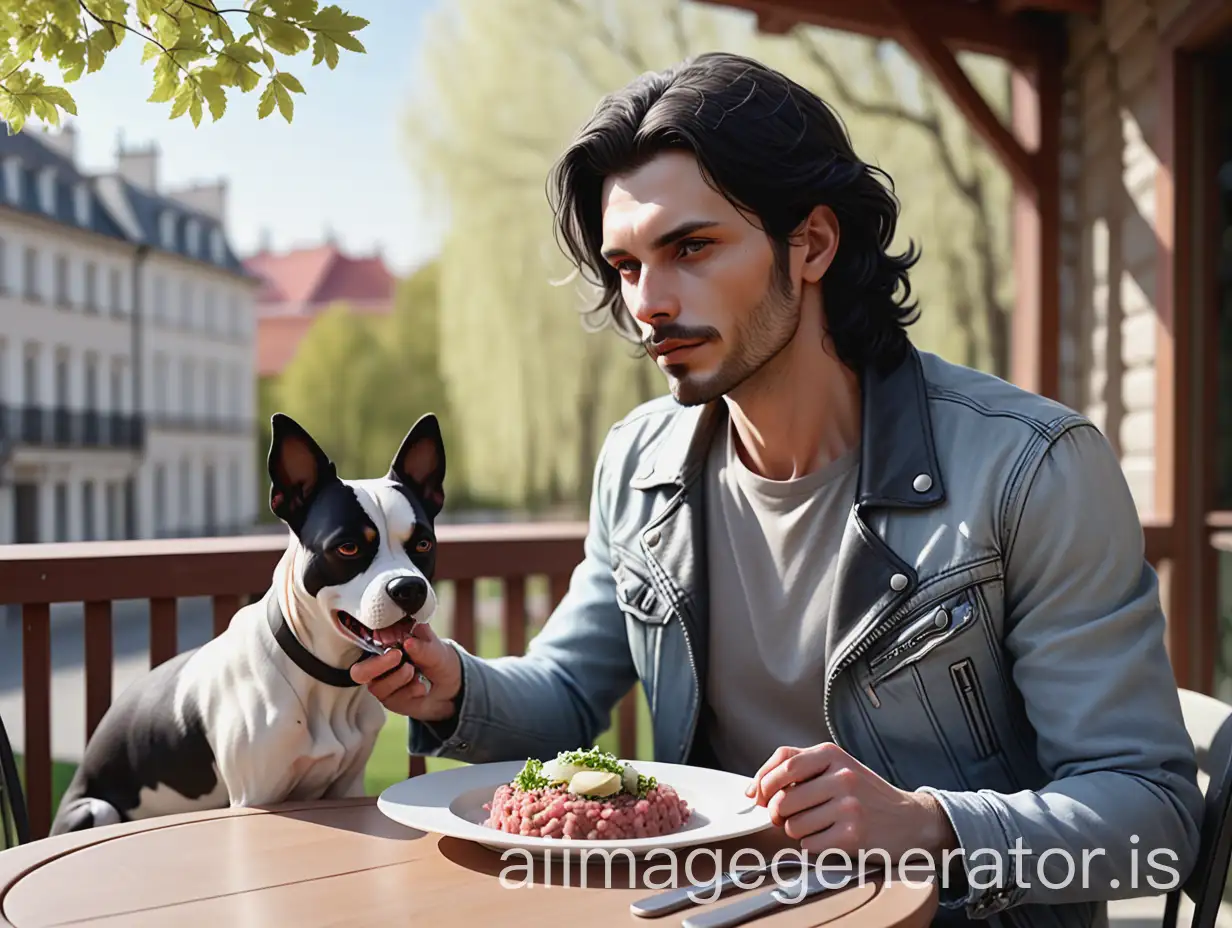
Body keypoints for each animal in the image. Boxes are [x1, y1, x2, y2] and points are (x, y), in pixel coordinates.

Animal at [54, 411, 448, 833]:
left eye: (423, 543)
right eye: (348, 547)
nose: (409, 589)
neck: (321, 676)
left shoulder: (347, 785)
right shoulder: (256, 798)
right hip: (96, 808)